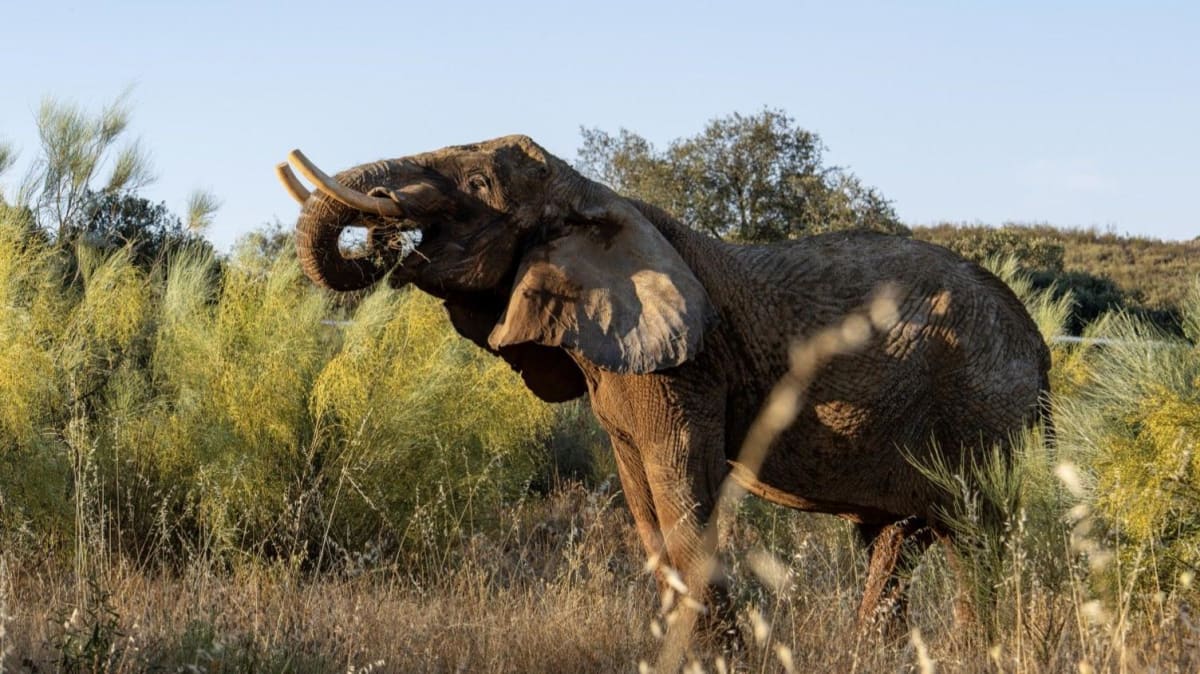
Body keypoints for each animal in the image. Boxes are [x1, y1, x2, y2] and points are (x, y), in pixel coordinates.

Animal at [275, 135, 1051, 648]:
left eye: (480, 185)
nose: (383, 231)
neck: (597, 196)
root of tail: (1040, 349)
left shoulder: (686, 368)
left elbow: (680, 485)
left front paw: (714, 653)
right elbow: (643, 500)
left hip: (985, 410)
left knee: (976, 538)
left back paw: (985, 649)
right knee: (897, 541)